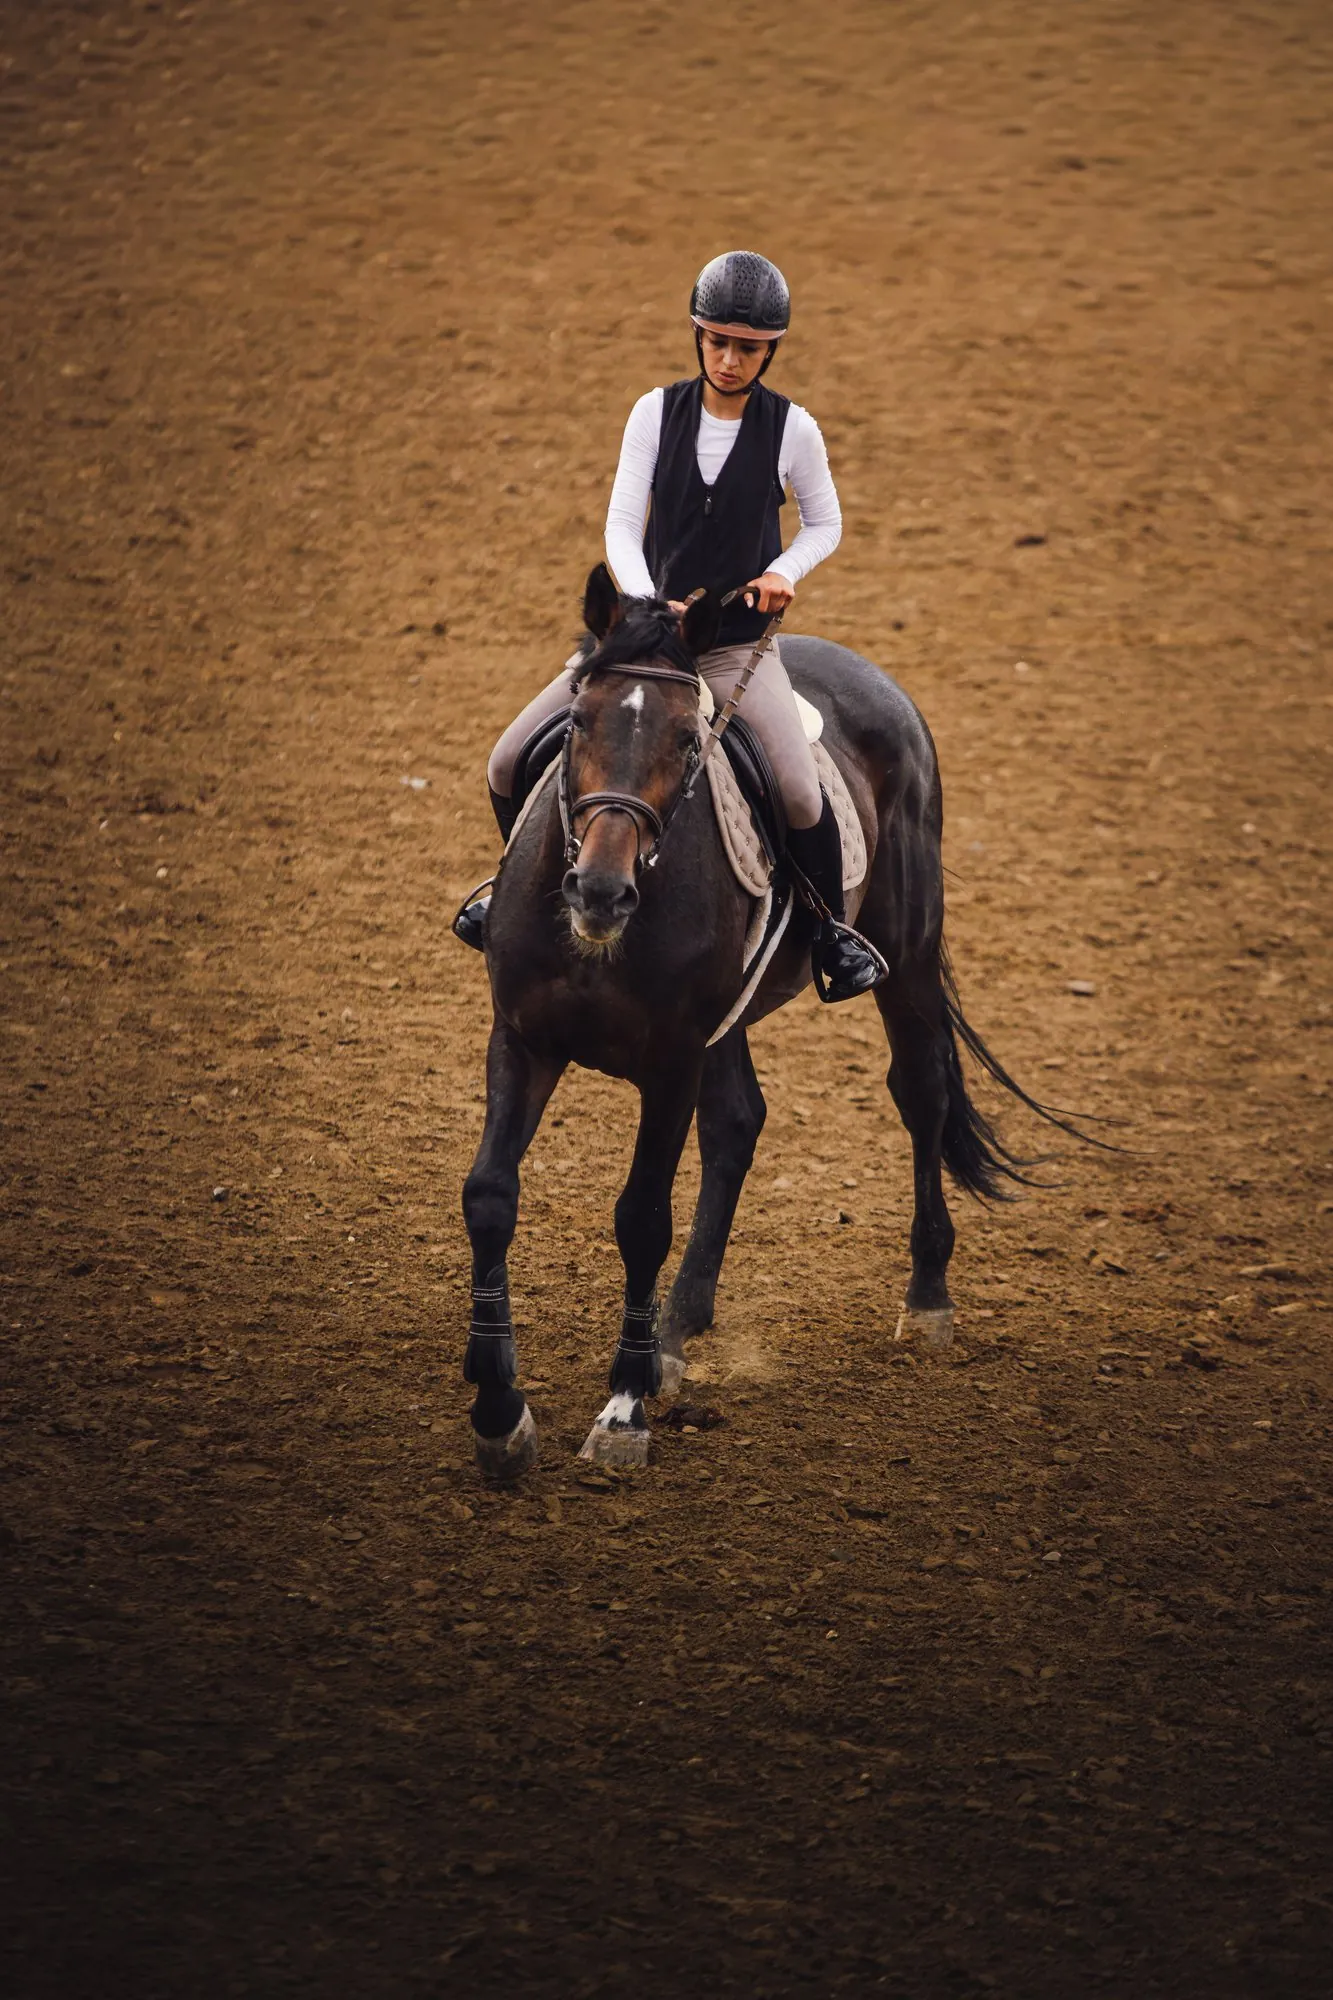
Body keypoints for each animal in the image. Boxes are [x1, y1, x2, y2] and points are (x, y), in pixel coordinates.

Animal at [461, 563, 1054, 1478]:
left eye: (684, 741)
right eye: (579, 725)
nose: (599, 894)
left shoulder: (669, 1063)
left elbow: (641, 1219)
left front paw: (622, 1410)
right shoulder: (522, 1040)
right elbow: (490, 1196)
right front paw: (499, 1414)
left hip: (907, 948)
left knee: (919, 1091)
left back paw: (925, 1300)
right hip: (727, 1017)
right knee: (739, 1120)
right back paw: (679, 1325)